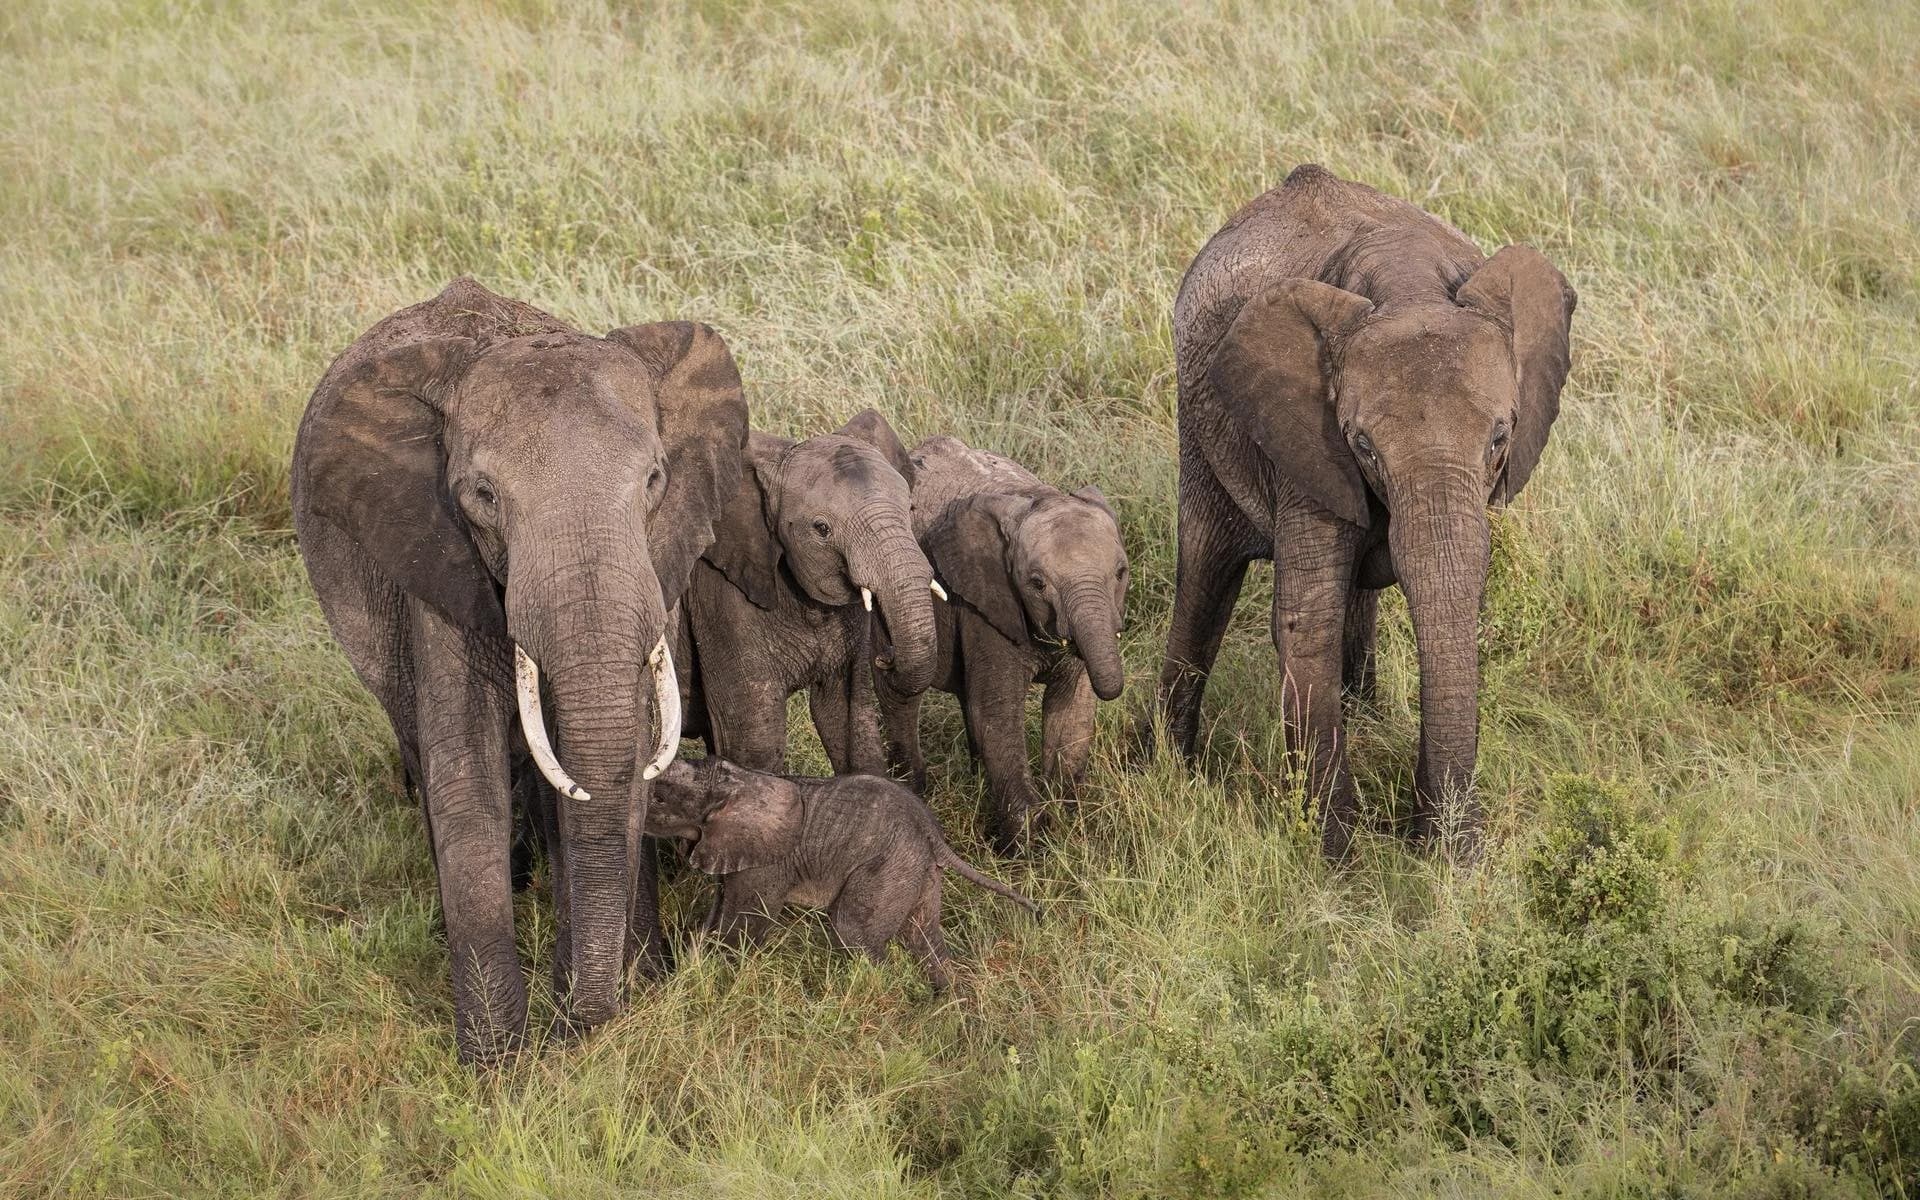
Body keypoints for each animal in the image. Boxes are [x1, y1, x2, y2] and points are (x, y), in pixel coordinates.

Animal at [290, 277, 747, 1064]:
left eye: (655, 479)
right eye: (481, 496)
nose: (585, 1025)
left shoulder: (657, 557)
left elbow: (624, 752)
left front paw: (621, 1000)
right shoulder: (436, 561)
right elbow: (465, 771)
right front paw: (499, 1065)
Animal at [644, 757, 1039, 991]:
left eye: (660, 799)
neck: (737, 780)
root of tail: (933, 834)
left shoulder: (767, 861)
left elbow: (741, 926)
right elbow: (716, 914)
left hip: (889, 865)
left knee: (854, 930)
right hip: (917, 869)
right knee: (924, 936)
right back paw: (947, 998)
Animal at [672, 410, 940, 776]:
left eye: (910, 509)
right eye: (821, 529)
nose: (886, 657)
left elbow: (849, 720)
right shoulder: (718, 599)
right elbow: (754, 742)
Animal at [880, 436, 1130, 853]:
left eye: (1121, 573)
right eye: (1037, 583)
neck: (1036, 496)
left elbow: (1071, 709)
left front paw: (1068, 822)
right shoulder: (985, 602)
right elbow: (998, 712)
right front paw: (1030, 845)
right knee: (902, 693)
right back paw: (910, 789)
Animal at [1143, 164, 1576, 860]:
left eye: (1500, 438)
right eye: (1364, 445)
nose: (1449, 850)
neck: (1407, 284)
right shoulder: (1304, 436)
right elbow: (1306, 618)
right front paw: (1339, 856)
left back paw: (1365, 714)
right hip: (1199, 420)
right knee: (1206, 568)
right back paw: (1170, 768)